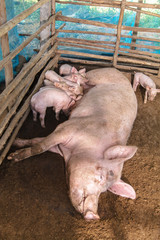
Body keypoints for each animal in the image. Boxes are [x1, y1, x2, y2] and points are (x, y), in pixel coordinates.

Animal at [7, 68, 138, 220]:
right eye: (100, 177)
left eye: (104, 191)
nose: (94, 215)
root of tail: (117, 70)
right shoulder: (67, 128)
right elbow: (40, 147)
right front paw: (13, 157)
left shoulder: (59, 147)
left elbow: (38, 141)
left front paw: (15, 144)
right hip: (94, 76)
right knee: (76, 81)